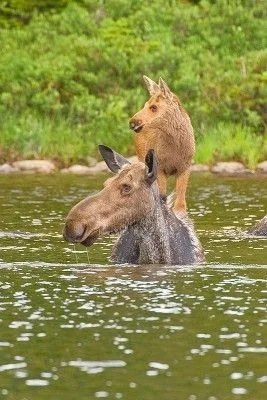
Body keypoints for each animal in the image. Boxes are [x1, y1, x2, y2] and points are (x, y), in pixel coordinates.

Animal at [129, 75, 195, 212]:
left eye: (154, 107)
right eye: (145, 104)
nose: (132, 122)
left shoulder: (185, 166)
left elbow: (180, 205)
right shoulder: (160, 168)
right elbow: (162, 197)